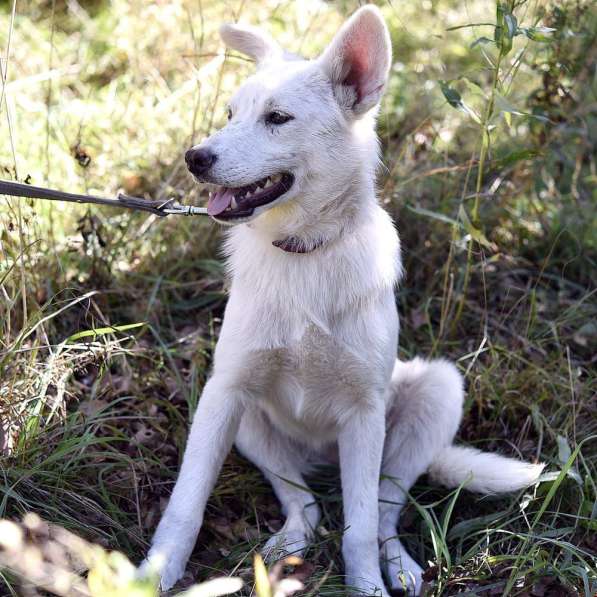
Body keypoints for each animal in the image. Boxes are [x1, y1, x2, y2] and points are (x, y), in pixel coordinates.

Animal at [143, 5, 540, 596]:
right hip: (248, 422)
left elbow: (359, 527)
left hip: (434, 394)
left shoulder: (364, 413)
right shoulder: (224, 392)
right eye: (231, 113)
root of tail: (323, 461)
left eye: (277, 118)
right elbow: (185, 505)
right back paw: (285, 546)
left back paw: (398, 565)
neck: (303, 253)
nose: (195, 157)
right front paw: (153, 572)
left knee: (382, 511)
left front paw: (368, 584)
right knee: (304, 504)